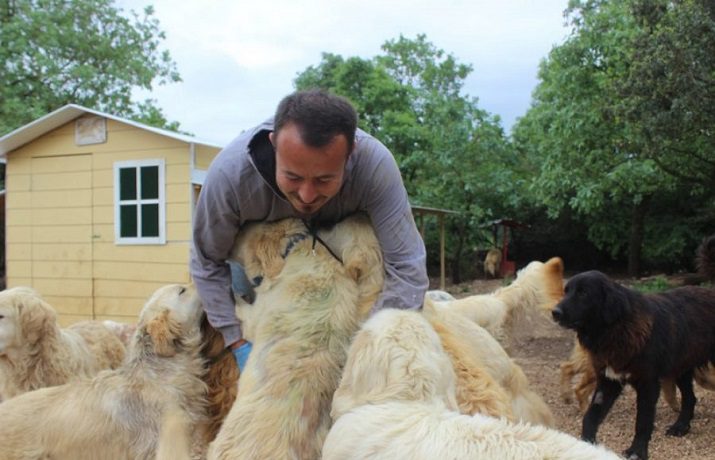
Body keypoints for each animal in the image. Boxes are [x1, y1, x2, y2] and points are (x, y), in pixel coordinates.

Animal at [552, 269, 715, 460]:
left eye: (583, 293)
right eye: (566, 291)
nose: (555, 312)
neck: (615, 329)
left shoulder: (648, 385)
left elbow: (642, 422)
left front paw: (637, 451)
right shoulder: (608, 382)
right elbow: (590, 417)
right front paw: (586, 446)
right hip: (681, 369)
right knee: (690, 398)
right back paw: (680, 427)